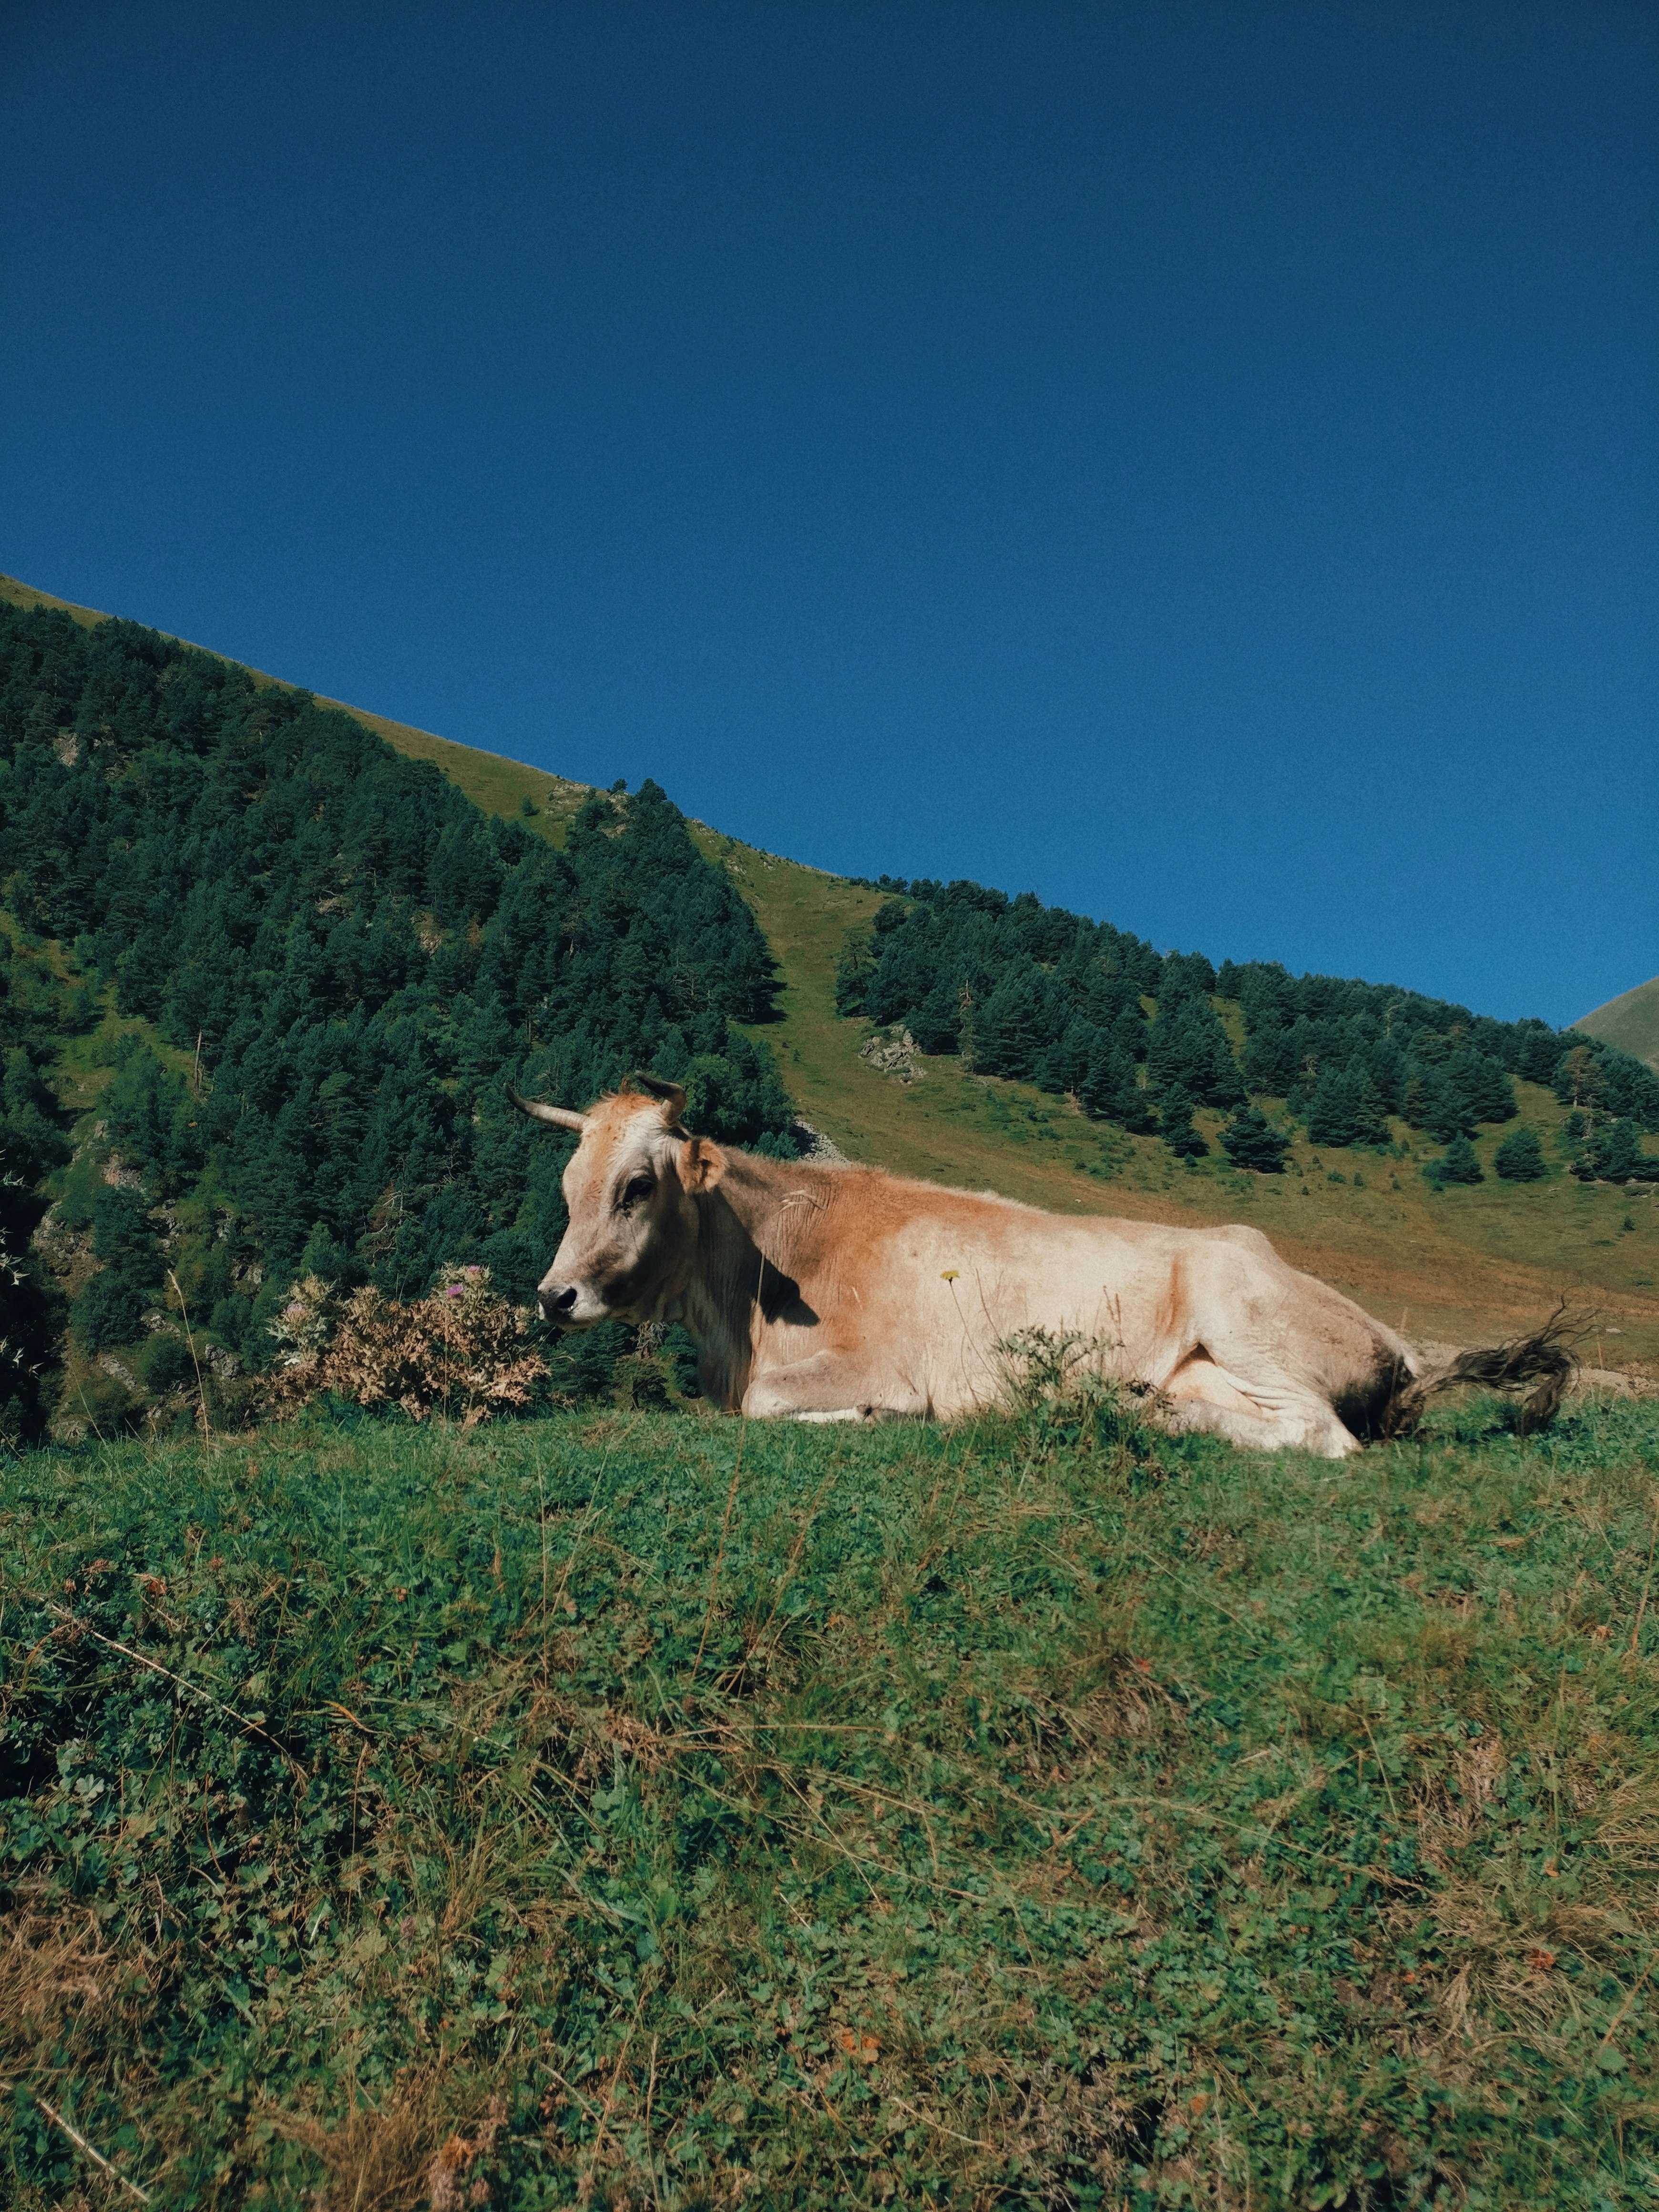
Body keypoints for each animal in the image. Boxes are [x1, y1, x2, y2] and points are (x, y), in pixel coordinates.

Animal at [513, 1079, 1575, 1460]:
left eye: (636, 1188)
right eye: (566, 1185)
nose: (554, 1295)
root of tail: (1394, 1339)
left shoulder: (887, 1366)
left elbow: (773, 1405)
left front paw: (865, 1419)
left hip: (1240, 1308)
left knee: (1322, 1436)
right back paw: (1140, 1405)